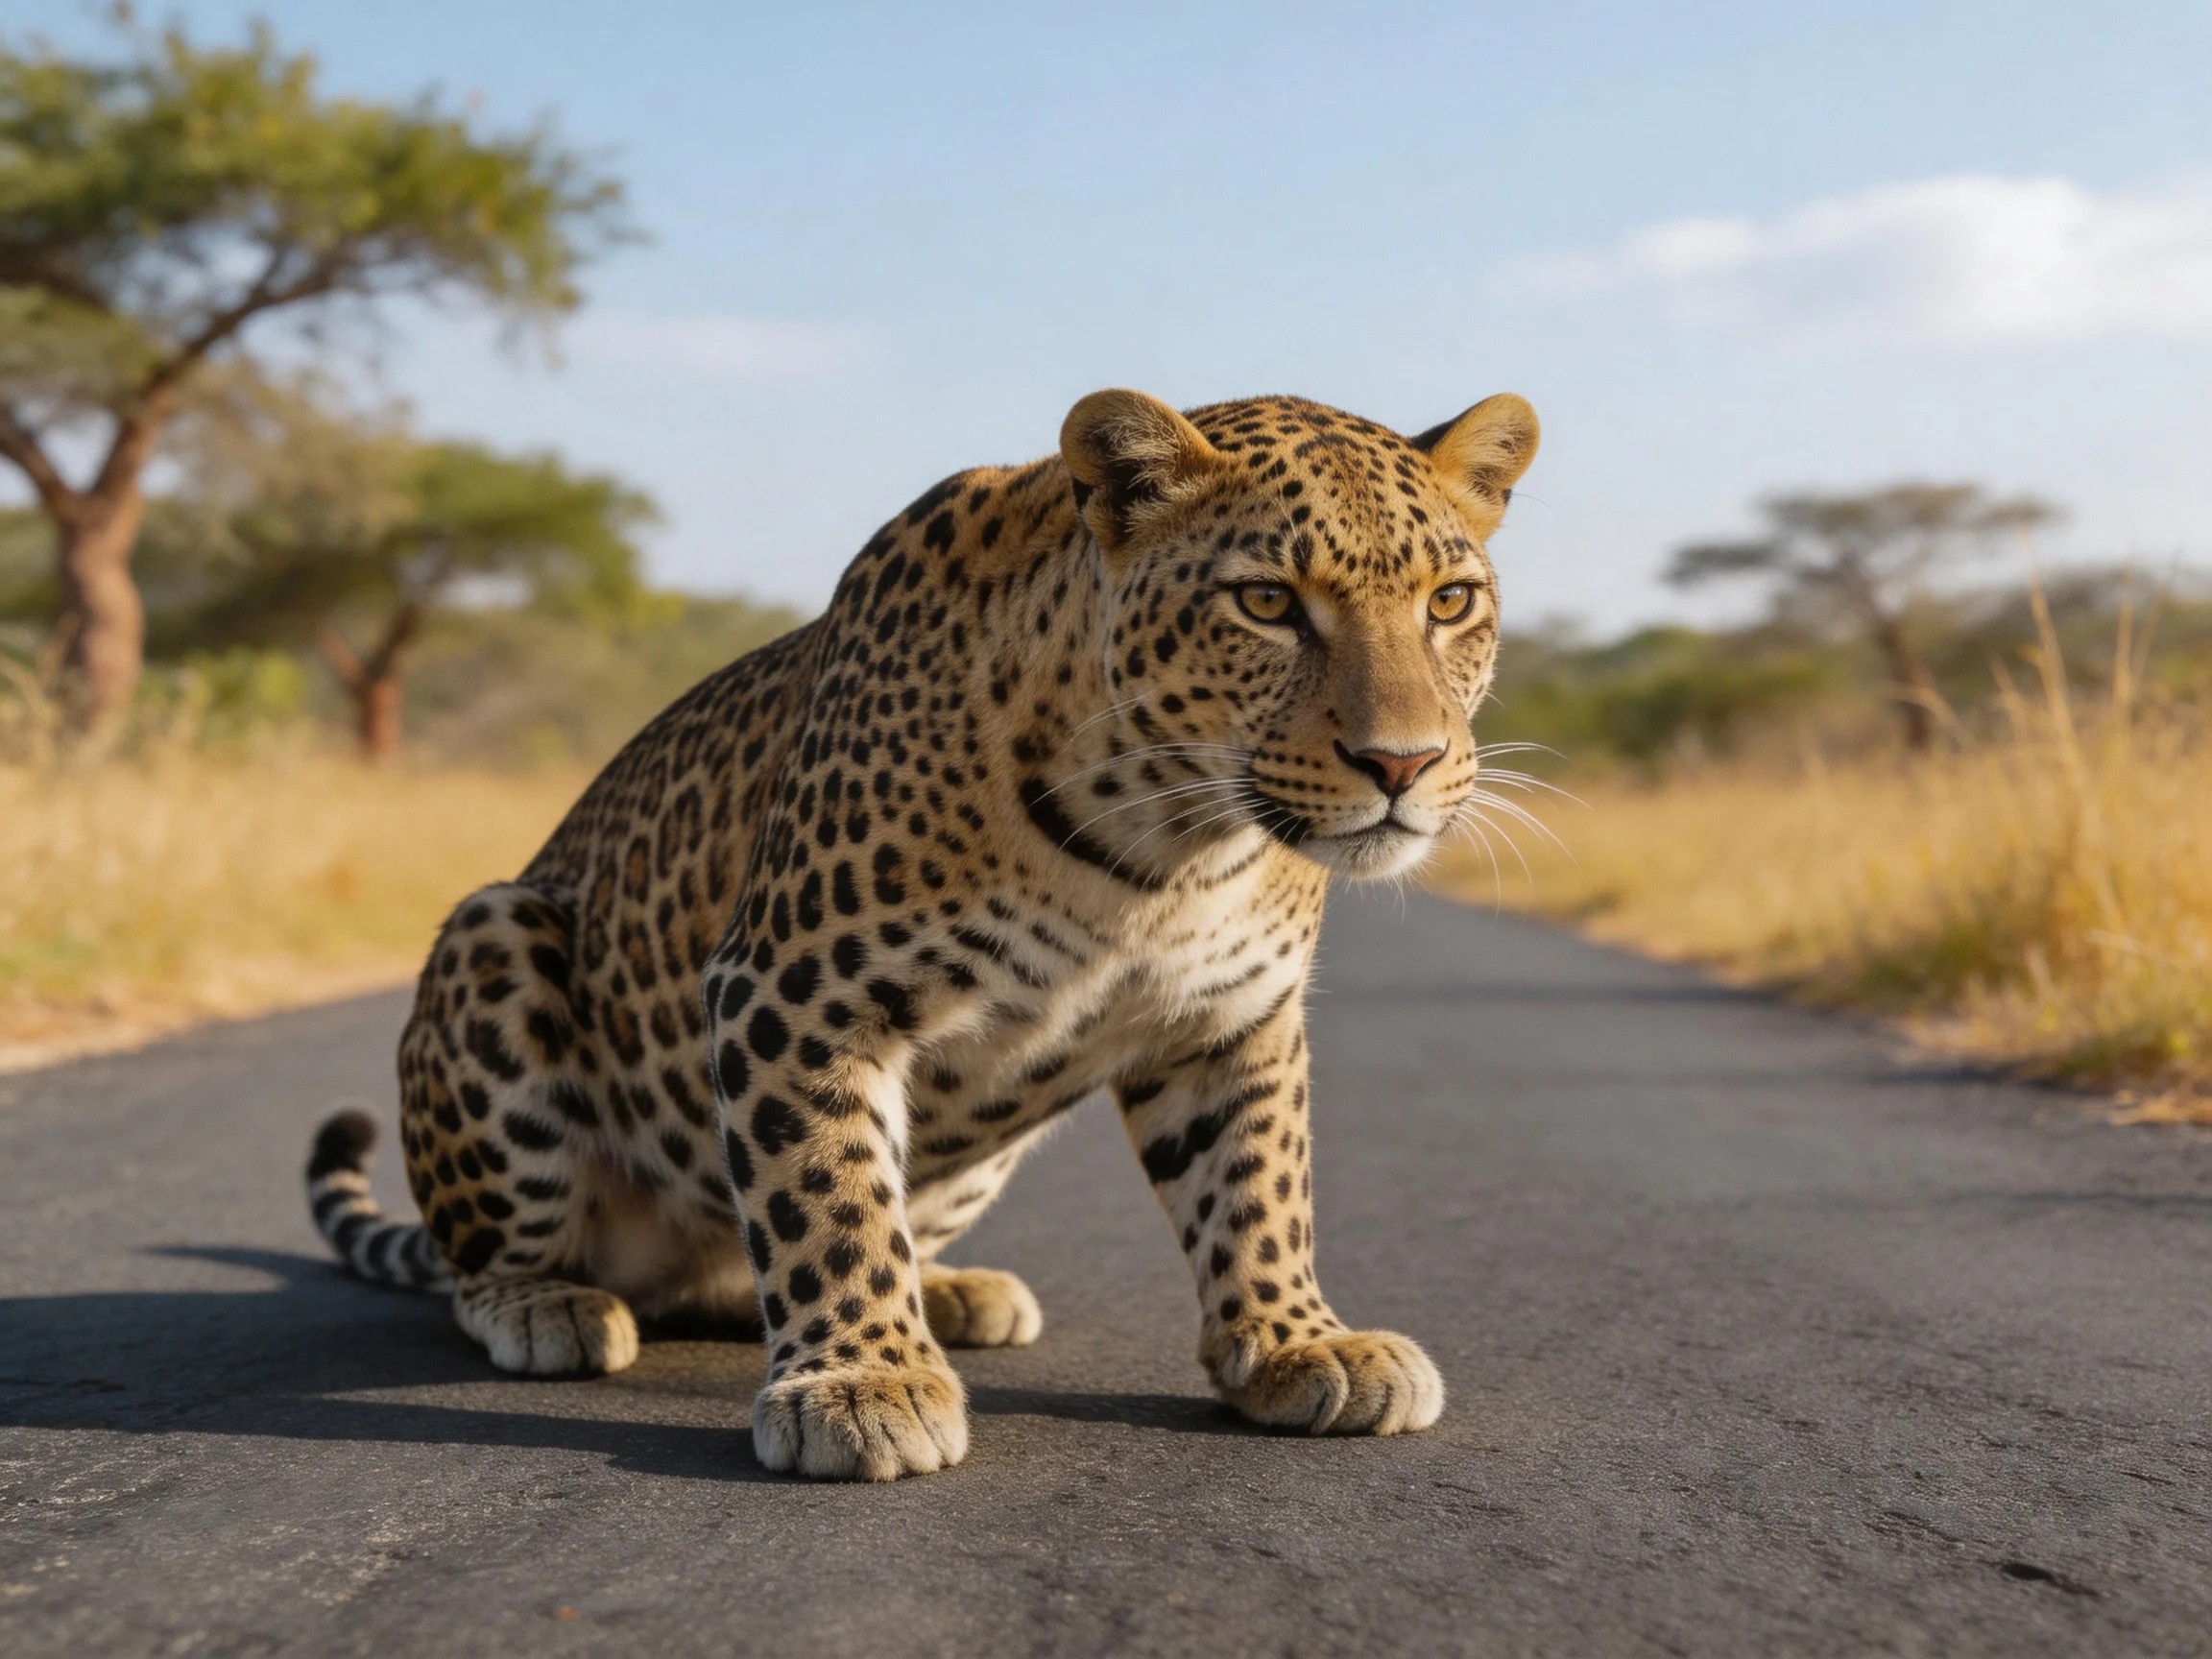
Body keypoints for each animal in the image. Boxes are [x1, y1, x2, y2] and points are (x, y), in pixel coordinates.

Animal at [303, 386, 1540, 1481]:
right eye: (1269, 604)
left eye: (1448, 603)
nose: (1403, 764)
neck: (1164, 852)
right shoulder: (792, 991)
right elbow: (825, 1191)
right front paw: (863, 1384)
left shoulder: (1231, 1018)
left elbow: (1257, 1185)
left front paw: (1294, 1342)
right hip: (496, 932)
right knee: (487, 1261)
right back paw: (551, 1303)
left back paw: (955, 1293)